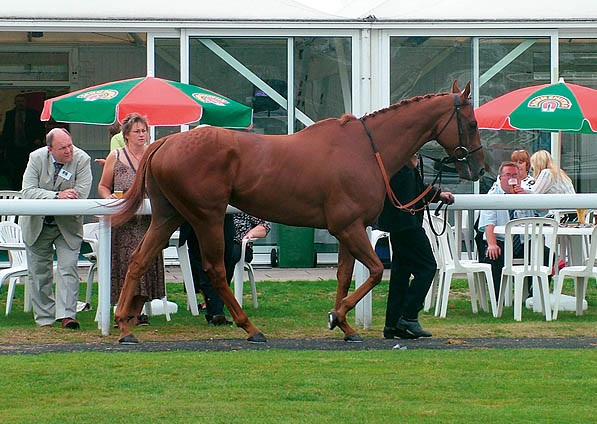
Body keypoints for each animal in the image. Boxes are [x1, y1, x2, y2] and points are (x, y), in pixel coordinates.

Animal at [112, 80, 484, 344]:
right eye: (471, 122)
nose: (478, 167)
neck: (365, 149)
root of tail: (165, 143)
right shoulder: (349, 227)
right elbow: (377, 271)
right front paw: (337, 316)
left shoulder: (348, 229)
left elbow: (344, 275)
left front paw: (345, 325)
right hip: (208, 217)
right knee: (215, 270)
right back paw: (250, 328)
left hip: (168, 216)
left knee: (138, 260)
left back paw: (124, 327)